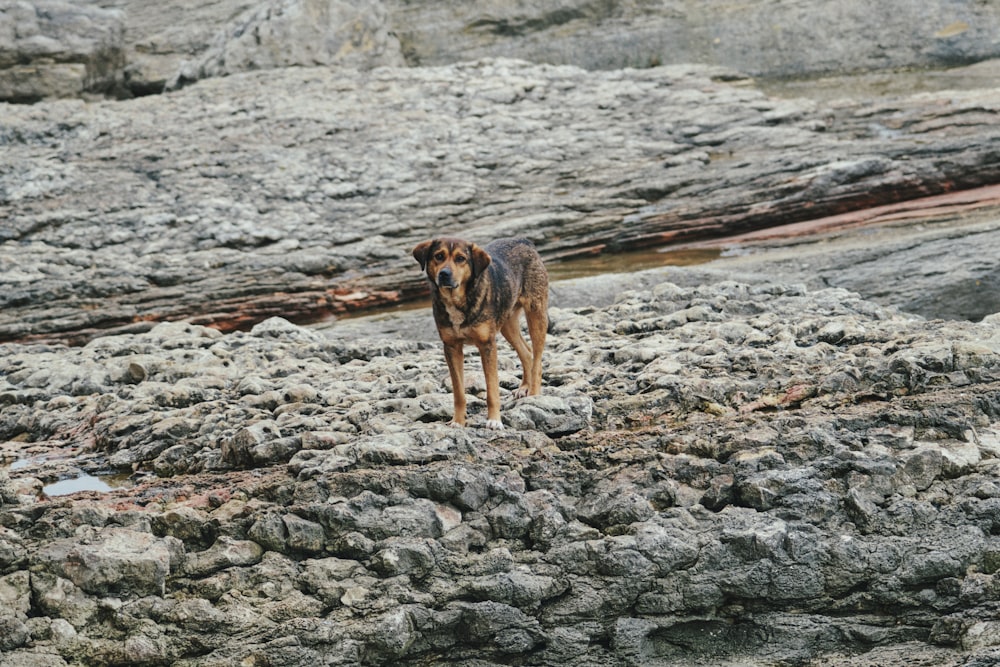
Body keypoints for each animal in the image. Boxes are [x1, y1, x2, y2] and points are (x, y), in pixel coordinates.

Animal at [416, 237, 556, 430]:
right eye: (439, 256)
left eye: (460, 258)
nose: (444, 274)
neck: (457, 300)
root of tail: (524, 240)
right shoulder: (451, 347)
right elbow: (458, 392)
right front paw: (458, 421)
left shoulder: (487, 345)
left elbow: (492, 389)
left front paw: (494, 420)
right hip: (507, 324)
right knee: (527, 353)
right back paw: (524, 387)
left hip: (536, 314)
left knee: (537, 358)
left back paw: (534, 393)